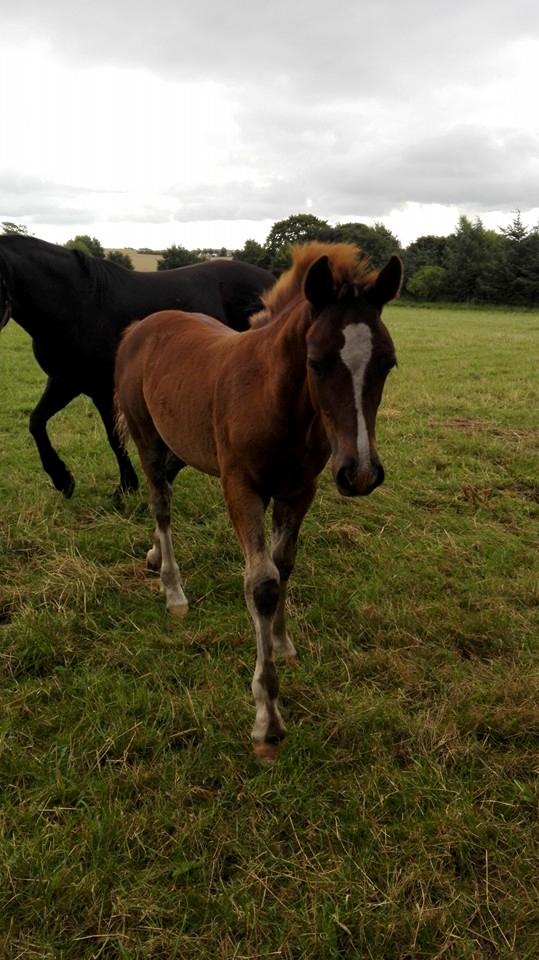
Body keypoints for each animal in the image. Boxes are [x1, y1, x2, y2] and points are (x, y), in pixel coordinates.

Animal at [0, 236, 274, 498]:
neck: (79, 304)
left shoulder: (104, 390)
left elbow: (115, 438)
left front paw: (125, 488)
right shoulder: (65, 381)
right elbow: (36, 421)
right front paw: (63, 479)